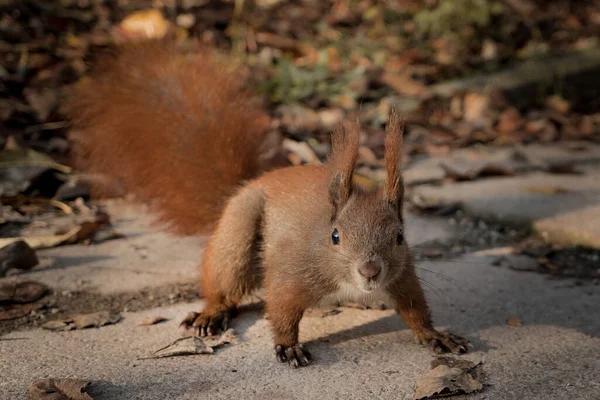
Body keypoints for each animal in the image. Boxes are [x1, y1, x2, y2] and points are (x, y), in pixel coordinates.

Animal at [65, 39, 468, 368]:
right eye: (335, 236)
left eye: (399, 237)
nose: (369, 271)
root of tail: (246, 186)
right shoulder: (293, 273)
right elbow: (282, 309)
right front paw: (288, 346)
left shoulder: (403, 277)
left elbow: (415, 310)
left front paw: (436, 335)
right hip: (238, 233)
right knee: (224, 283)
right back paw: (210, 314)